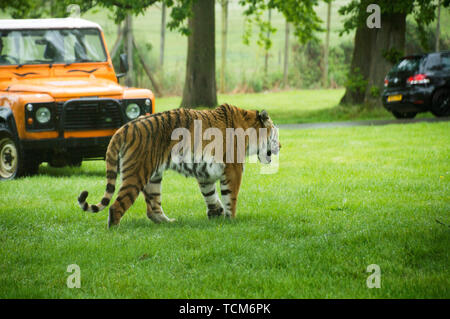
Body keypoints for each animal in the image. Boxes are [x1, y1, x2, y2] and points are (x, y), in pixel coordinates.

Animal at [78, 104, 282, 228]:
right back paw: (115, 231)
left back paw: (169, 223)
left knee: (152, 208)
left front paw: (216, 214)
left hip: (153, 176)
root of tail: (124, 128)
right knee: (117, 206)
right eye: (276, 135)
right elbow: (230, 197)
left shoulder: (205, 173)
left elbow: (210, 195)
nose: (280, 146)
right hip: (136, 174)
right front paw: (231, 220)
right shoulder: (233, 169)